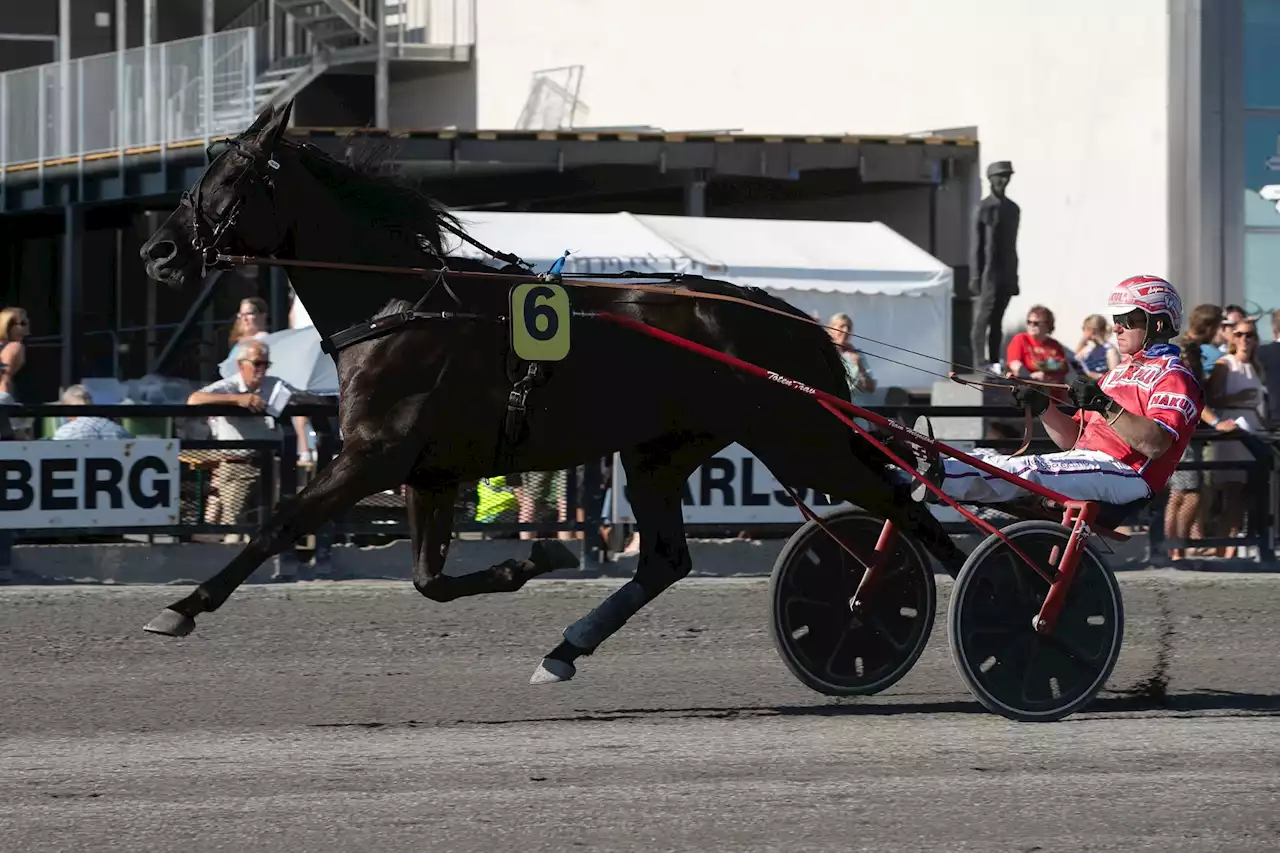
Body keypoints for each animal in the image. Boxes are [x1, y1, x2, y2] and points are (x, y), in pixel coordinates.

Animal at [137, 103, 962, 681]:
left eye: (231, 181)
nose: (158, 251)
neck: (403, 306)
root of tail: (795, 319)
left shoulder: (373, 454)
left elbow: (280, 524)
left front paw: (180, 608)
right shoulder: (428, 471)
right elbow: (429, 581)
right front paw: (534, 558)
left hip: (799, 437)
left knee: (910, 510)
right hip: (662, 450)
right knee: (667, 559)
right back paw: (567, 647)